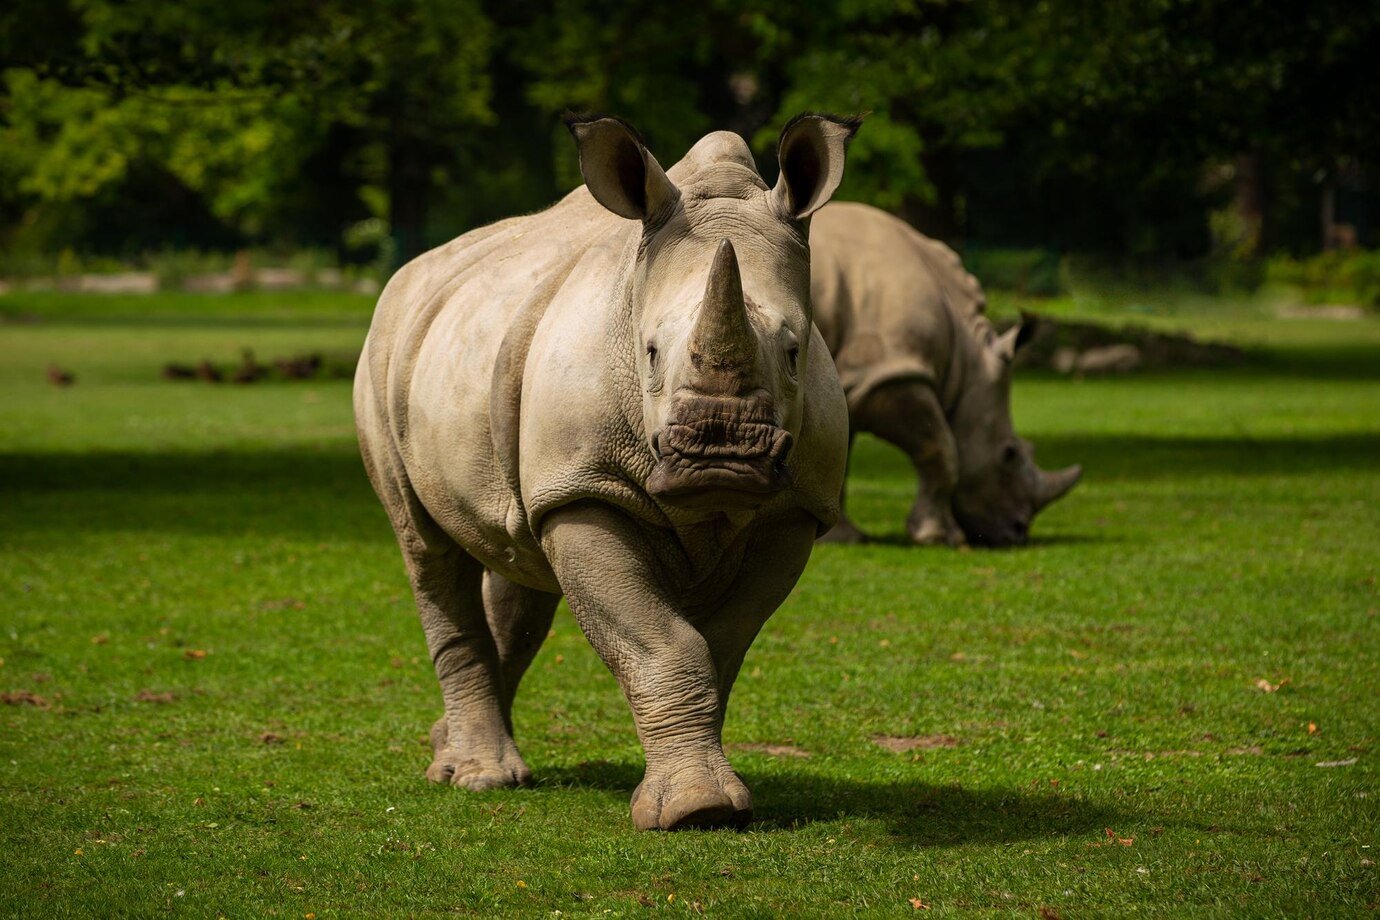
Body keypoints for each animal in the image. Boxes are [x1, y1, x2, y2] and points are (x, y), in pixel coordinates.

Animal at [354, 114, 857, 830]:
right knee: (426, 547)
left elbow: (719, 646)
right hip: (383, 354)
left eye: (793, 353)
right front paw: (694, 811)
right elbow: (662, 643)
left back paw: (451, 750)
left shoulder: (794, 509)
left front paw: (709, 797)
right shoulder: (587, 490)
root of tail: (409, 276)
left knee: (519, 562)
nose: (721, 457)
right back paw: (478, 778)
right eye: (648, 352)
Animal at [809, 202, 1081, 547]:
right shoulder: (892, 375)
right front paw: (941, 537)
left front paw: (844, 538)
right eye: (1009, 454)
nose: (1017, 532)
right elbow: (941, 448)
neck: (965, 362)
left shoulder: (854, 382)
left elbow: (836, 458)